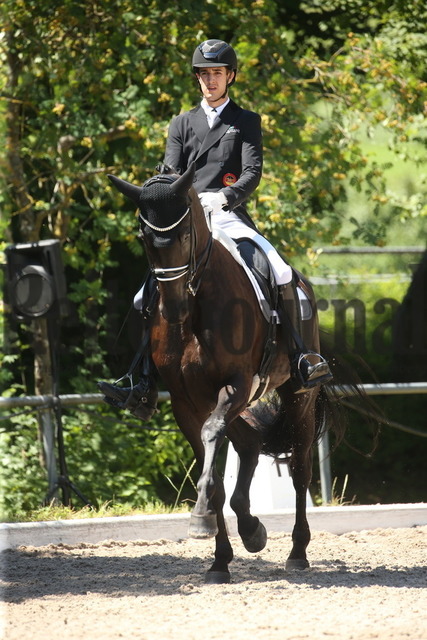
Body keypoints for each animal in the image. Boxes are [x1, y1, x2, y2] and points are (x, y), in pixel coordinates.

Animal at [107, 164, 344, 584]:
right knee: (249, 443)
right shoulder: (186, 401)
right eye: (145, 239)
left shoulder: (235, 384)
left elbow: (213, 438)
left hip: (297, 396)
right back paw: (251, 529)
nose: (173, 309)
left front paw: (203, 520)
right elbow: (211, 466)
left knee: (299, 469)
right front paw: (219, 557)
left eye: (185, 234)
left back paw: (297, 552)